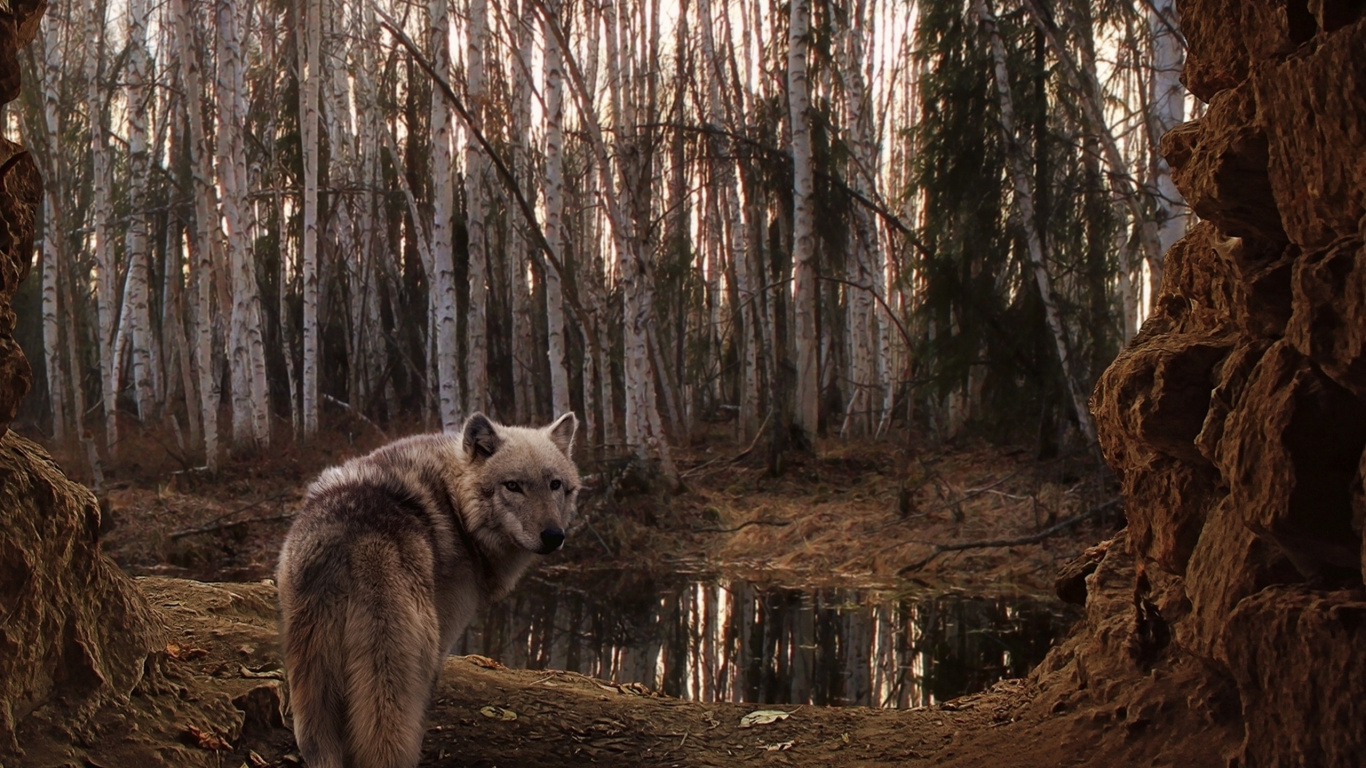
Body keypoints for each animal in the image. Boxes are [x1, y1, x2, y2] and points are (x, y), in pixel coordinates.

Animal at [274, 409, 579, 765]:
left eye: (554, 485)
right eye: (513, 486)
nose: (553, 536)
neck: (456, 507)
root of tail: (358, 542)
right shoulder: (443, 641)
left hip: (313, 685)